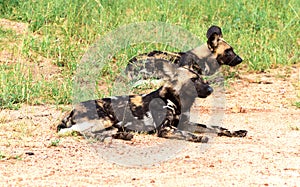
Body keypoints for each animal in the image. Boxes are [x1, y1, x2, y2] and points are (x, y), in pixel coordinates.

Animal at [57, 62, 247, 142]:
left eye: (202, 78)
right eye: (193, 80)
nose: (210, 90)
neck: (177, 100)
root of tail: (72, 110)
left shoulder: (187, 123)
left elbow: (217, 127)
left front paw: (236, 132)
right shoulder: (166, 129)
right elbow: (188, 134)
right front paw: (199, 138)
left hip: (111, 124)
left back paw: (122, 136)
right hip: (104, 119)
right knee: (80, 132)